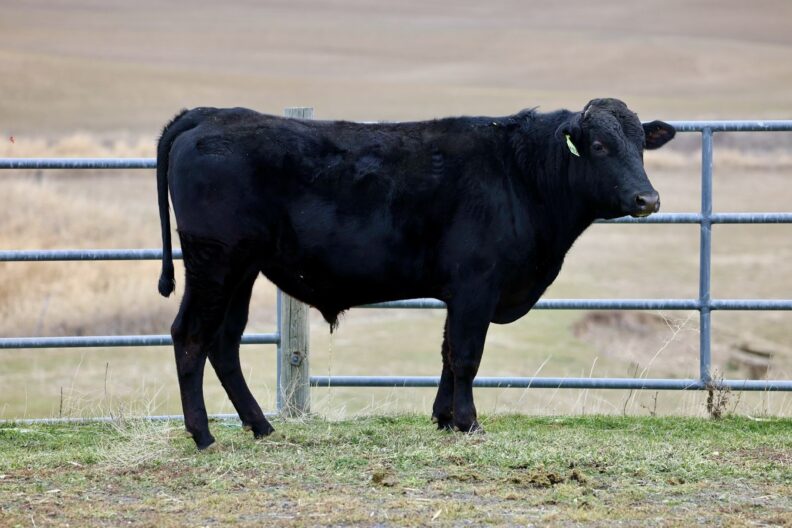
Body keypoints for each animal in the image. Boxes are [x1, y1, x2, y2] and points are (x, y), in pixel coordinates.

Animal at [156, 98, 675, 449]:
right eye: (601, 145)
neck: (521, 175)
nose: (647, 199)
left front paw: (443, 418)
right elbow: (466, 356)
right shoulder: (476, 286)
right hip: (214, 263)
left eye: (640, 146)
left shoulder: (461, 294)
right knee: (190, 335)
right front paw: (468, 422)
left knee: (224, 343)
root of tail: (209, 113)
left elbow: (447, 353)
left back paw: (261, 426)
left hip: (242, 270)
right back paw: (203, 435)